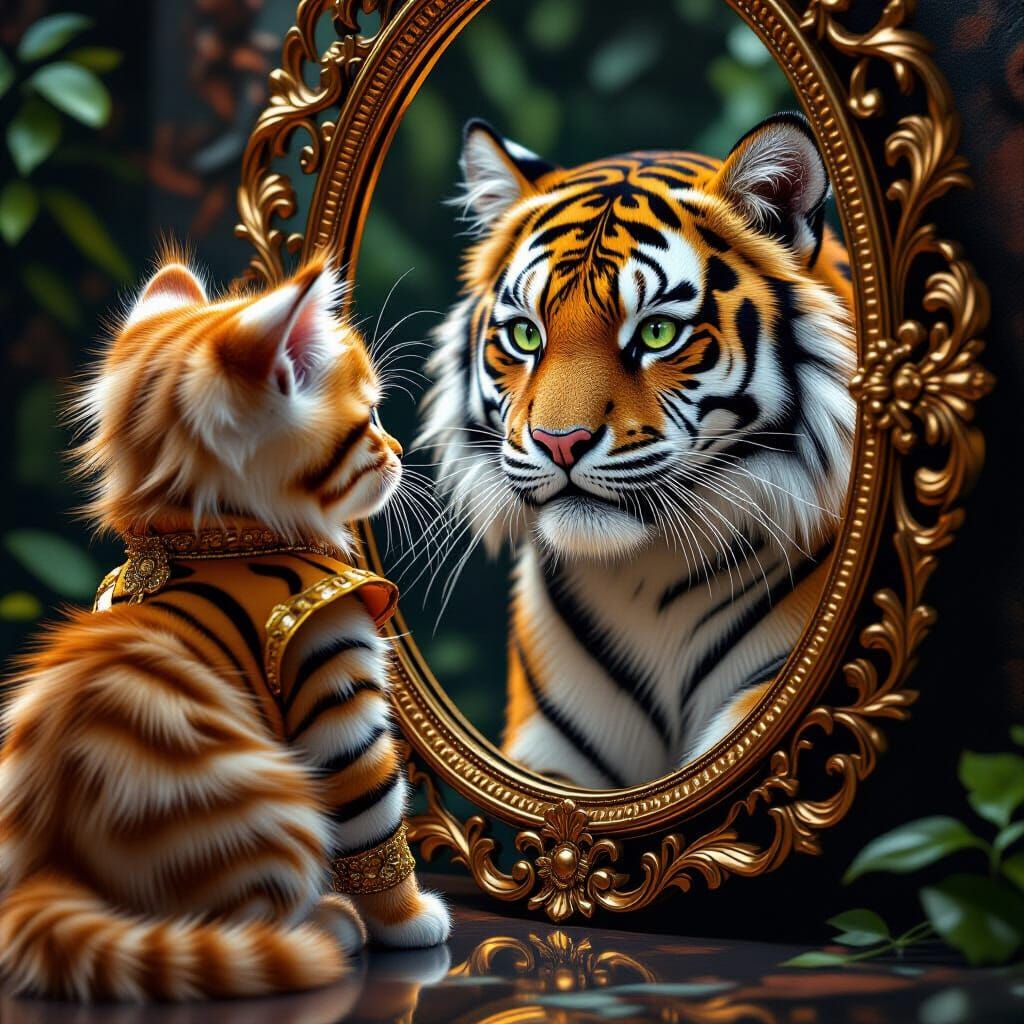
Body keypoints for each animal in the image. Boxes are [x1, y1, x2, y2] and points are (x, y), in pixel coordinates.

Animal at [0, 253, 450, 1002]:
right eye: (368, 420)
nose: (396, 447)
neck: (217, 539)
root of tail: (49, 869)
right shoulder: (334, 682)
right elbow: (375, 821)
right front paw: (410, 920)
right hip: (269, 808)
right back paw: (327, 923)